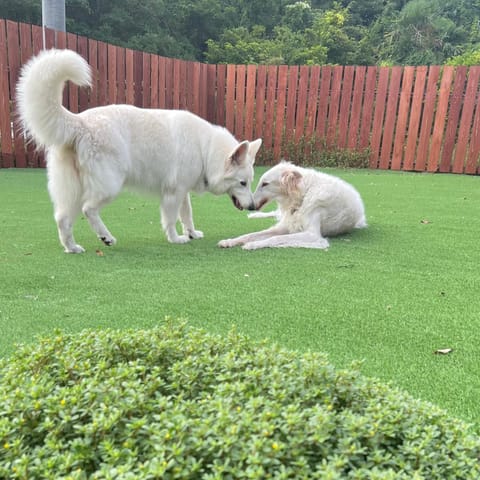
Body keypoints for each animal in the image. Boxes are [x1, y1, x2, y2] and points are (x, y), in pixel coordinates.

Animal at [218, 162, 368, 251]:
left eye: (265, 184)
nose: (250, 205)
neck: (303, 195)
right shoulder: (284, 226)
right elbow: (250, 235)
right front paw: (229, 241)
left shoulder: (312, 235)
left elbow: (275, 239)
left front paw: (254, 244)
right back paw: (254, 215)